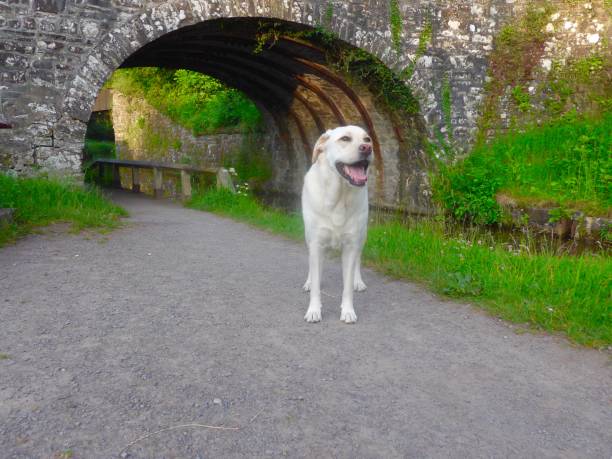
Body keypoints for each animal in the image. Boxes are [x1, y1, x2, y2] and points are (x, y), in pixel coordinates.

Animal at [302, 126, 372, 326]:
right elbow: (316, 283)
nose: (367, 148)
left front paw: (348, 311)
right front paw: (314, 311)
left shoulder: (350, 245)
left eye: (367, 139)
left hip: (362, 236)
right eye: (345, 139)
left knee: (358, 259)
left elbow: (347, 286)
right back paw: (310, 281)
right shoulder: (316, 243)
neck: (339, 197)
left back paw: (358, 281)